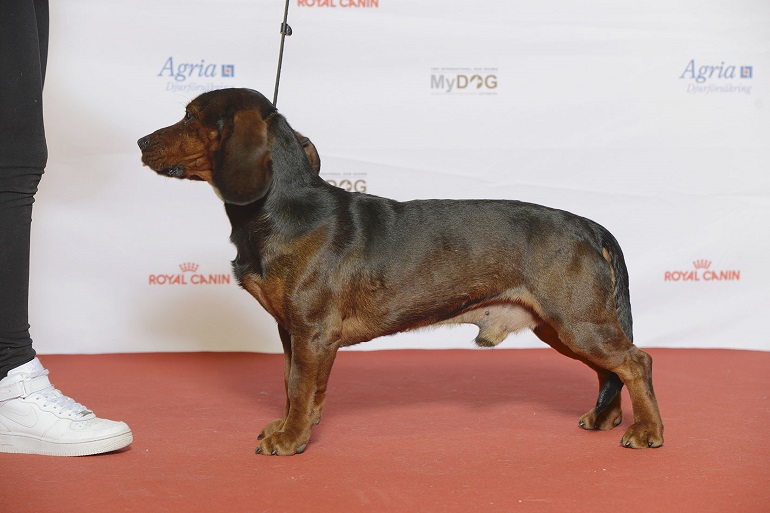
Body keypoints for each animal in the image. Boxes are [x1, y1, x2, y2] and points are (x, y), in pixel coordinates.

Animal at [136, 87, 660, 452]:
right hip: (562, 327)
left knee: (636, 362)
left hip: (577, 321)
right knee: (609, 370)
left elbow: (300, 388)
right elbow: (293, 386)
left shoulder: (311, 331)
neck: (284, 209)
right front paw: (290, 425)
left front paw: (290, 439)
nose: (140, 141)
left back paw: (647, 430)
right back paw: (606, 418)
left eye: (189, 115)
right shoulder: (293, 333)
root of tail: (589, 225)